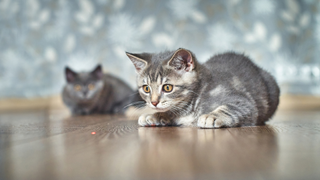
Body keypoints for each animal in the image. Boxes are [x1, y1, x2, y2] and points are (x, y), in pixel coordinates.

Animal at [126, 48, 278, 128]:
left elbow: (232, 107)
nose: (154, 102)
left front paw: (212, 116)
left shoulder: (244, 102)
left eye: (167, 88)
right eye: (146, 88)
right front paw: (155, 115)